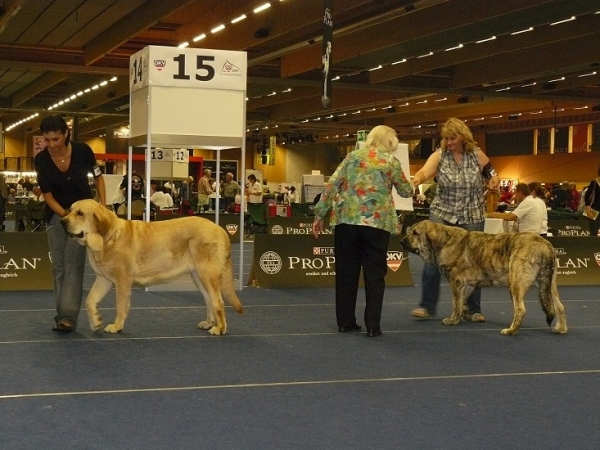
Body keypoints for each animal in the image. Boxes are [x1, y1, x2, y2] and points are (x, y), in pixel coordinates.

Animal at [61, 200, 244, 334]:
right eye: (69, 210)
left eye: (80, 213)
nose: (62, 221)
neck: (108, 238)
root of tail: (220, 230)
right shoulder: (104, 279)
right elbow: (90, 300)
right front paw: (96, 321)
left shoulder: (122, 280)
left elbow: (120, 305)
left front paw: (117, 326)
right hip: (198, 276)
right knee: (209, 300)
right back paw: (209, 323)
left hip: (207, 274)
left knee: (218, 301)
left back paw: (220, 328)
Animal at [404, 220, 568, 336]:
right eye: (409, 231)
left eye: (415, 233)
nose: (401, 241)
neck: (444, 241)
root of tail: (545, 245)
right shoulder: (469, 284)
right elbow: (462, 302)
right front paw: (463, 315)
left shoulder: (456, 283)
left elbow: (455, 303)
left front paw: (452, 320)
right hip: (548, 284)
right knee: (559, 306)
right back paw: (560, 328)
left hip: (516, 283)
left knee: (520, 310)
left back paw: (511, 331)